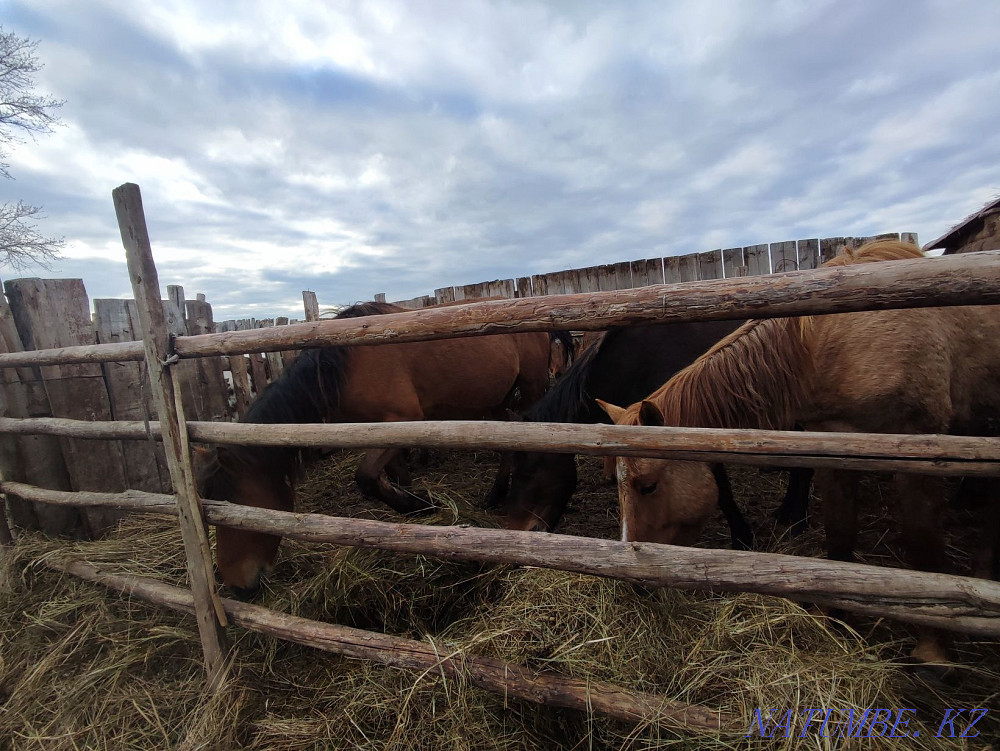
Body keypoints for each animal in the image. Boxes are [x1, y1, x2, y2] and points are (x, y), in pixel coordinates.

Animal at [199, 301, 560, 596]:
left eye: (239, 506)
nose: (237, 586)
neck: (343, 367)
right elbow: (393, 477)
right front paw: (414, 507)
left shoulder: (404, 420)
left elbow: (366, 477)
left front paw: (422, 506)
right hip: (497, 400)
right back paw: (496, 493)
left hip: (530, 387)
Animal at [487, 319, 813, 548]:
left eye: (528, 473)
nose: (515, 530)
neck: (635, 363)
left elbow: (722, 488)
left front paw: (742, 539)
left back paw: (796, 519)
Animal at [598, 239, 1000, 664]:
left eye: (648, 485)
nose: (634, 583)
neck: (837, 346)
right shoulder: (835, 447)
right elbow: (839, 534)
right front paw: (832, 617)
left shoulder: (917, 454)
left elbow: (922, 539)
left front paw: (933, 648)